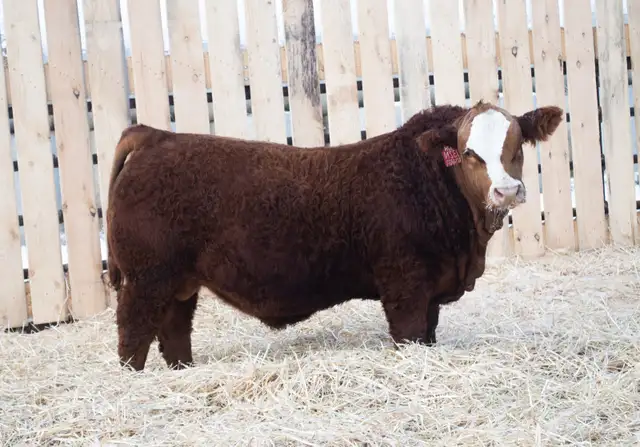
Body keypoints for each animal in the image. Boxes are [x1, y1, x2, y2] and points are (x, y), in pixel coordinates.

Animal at [106, 100, 563, 371]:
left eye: (518, 146)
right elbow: (410, 335)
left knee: (174, 331)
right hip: (145, 280)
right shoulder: (406, 287)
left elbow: (429, 336)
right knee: (133, 334)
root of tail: (157, 136)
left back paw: (183, 371)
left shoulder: (432, 290)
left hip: (177, 284)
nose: (507, 190)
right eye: (469, 153)